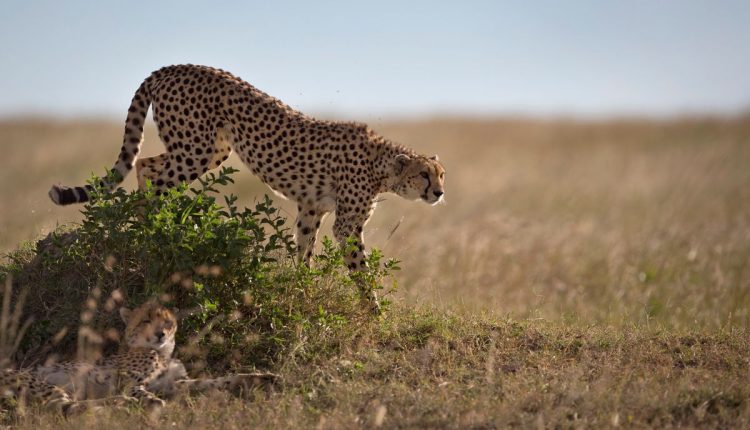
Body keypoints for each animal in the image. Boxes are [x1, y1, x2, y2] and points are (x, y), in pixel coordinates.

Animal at [0, 300, 276, 416]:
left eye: (167, 321)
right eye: (145, 320)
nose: (160, 334)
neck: (161, 353)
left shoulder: (173, 383)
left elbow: (214, 381)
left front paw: (258, 377)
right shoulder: (129, 381)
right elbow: (140, 390)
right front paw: (152, 401)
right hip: (39, 382)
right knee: (67, 406)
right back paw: (125, 404)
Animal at [47, 65, 446, 285]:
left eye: (442, 174)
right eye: (424, 175)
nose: (440, 194)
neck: (382, 166)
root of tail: (173, 66)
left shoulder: (311, 209)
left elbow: (304, 250)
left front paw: (302, 287)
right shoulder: (346, 225)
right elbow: (359, 269)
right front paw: (371, 309)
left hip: (212, 149)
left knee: (146, 165)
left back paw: (152, 220)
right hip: (195, 149)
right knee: (152, 175)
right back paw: (151, 225)